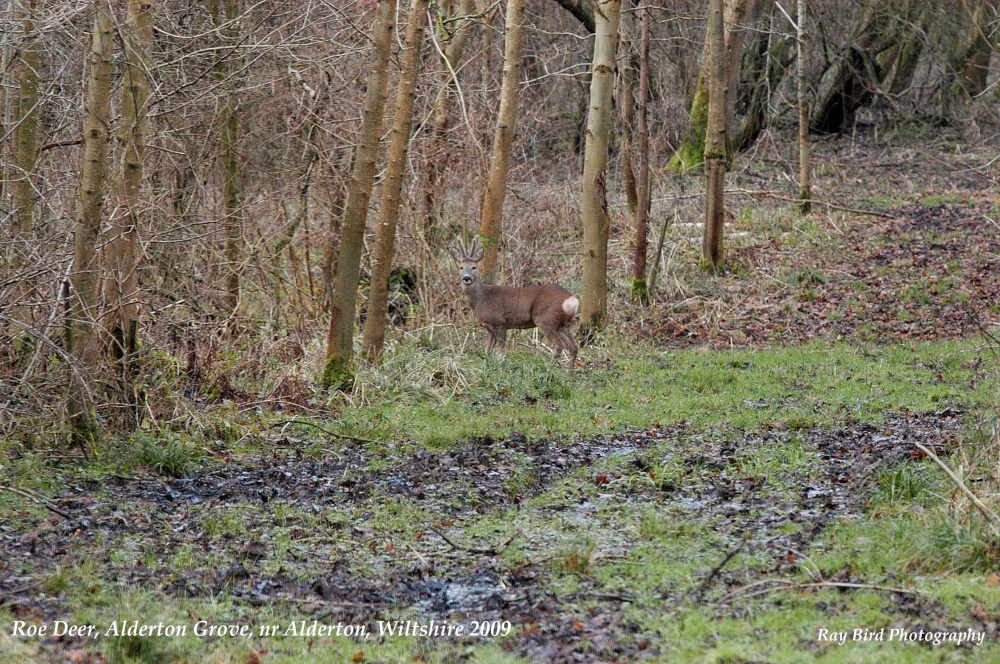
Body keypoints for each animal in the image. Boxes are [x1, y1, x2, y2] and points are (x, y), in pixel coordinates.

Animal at [449, 236, 579, 368]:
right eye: (461, 267)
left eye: (474, 267)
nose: (466, 278)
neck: (480, 298)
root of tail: (571, 300)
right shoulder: (489, 327)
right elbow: (487, 351)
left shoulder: (499, 322)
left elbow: (501, 351)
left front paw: (500, 366)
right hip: (561, 324)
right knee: (573, 347)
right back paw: (569, 371)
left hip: (546, 319)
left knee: (559, 345)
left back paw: (549, 368)